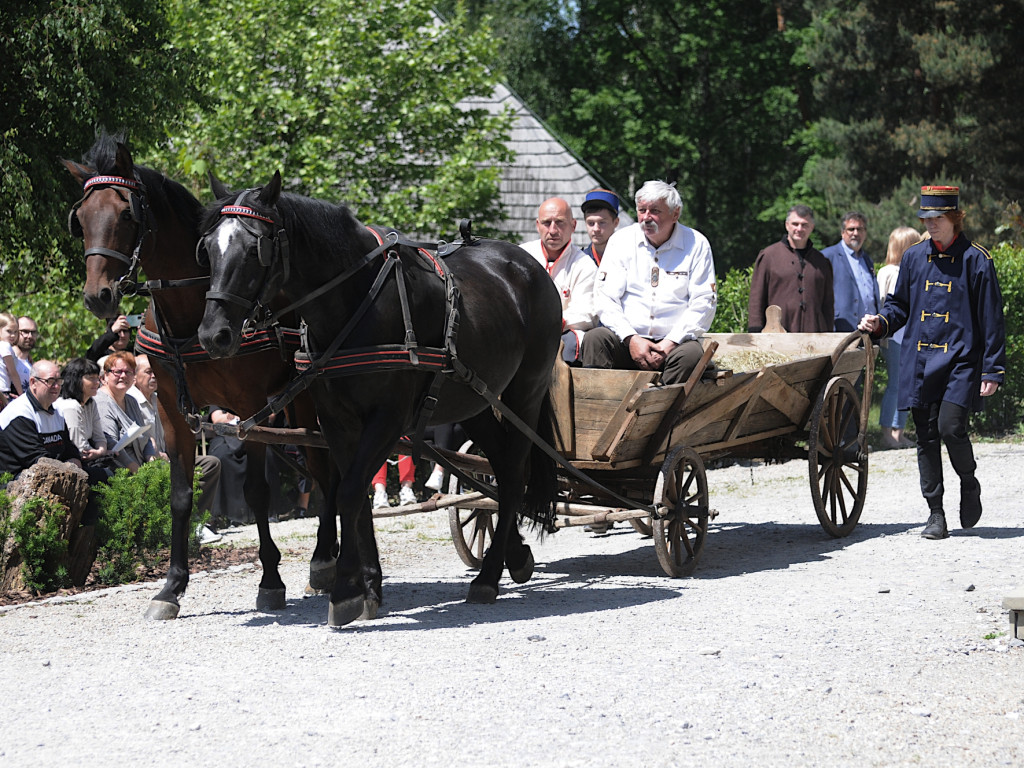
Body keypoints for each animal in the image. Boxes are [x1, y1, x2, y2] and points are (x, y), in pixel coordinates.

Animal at [65, 135, 344, 622]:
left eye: (125, 214)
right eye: (80, 220)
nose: (99, 296)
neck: (194, 311)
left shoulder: (250, 407)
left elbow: (256, 491)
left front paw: (270, 580)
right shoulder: (173, 410)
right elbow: (180, 494)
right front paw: (171, 587)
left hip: (306, 399)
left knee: (325, 468)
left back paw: (324, 561)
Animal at [195, 171, 565, 626]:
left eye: (254, 248)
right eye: (208, 249)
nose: (213, 335)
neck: (355, 303)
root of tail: (530, 265)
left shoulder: (387, 418)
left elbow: (351, 491)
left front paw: (344, 591)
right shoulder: (338, 421)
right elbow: (357, 498)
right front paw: (368, 585)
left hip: (522, 397)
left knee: (513, 474)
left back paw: (488, 577)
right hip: (475, 399)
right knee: (497, 472)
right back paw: (514, 555)